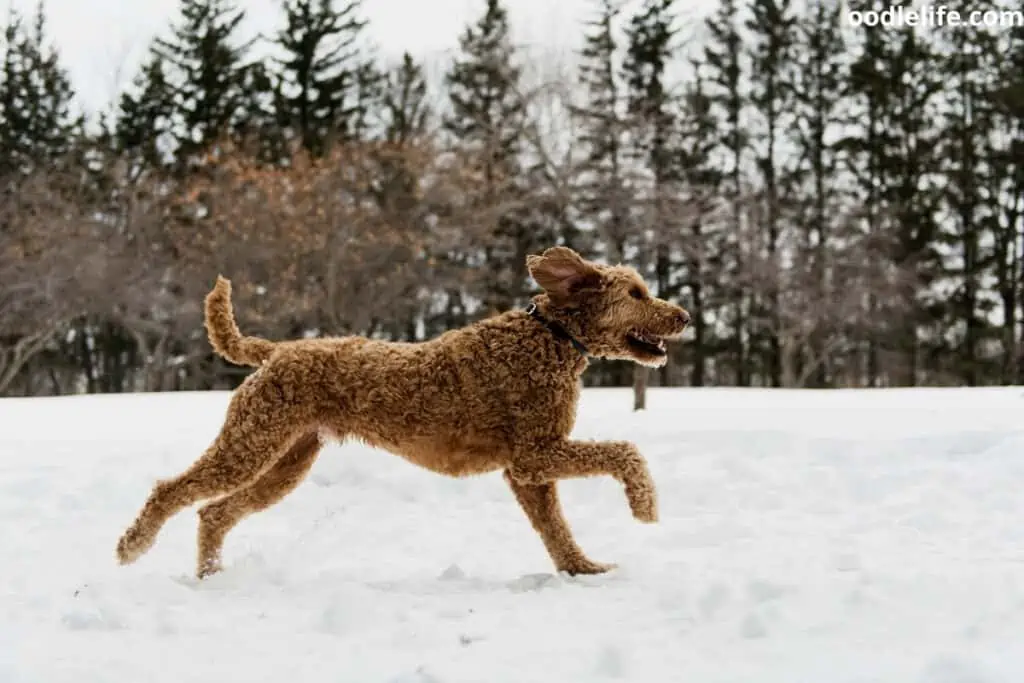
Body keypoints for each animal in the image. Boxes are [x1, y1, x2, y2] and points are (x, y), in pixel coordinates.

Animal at [114, 245, 688, 577]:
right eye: (637, 293)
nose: (682, 315)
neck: (551, 338)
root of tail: (276, 351)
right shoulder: (534, 454)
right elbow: (624, 452)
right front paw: (644, 506)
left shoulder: (528, 472)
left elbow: (556, 531)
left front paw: (583, 570)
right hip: (251, 442)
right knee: (173, 490)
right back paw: (132, 546)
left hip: (287, 459)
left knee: (214, 512)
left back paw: (211, 573)